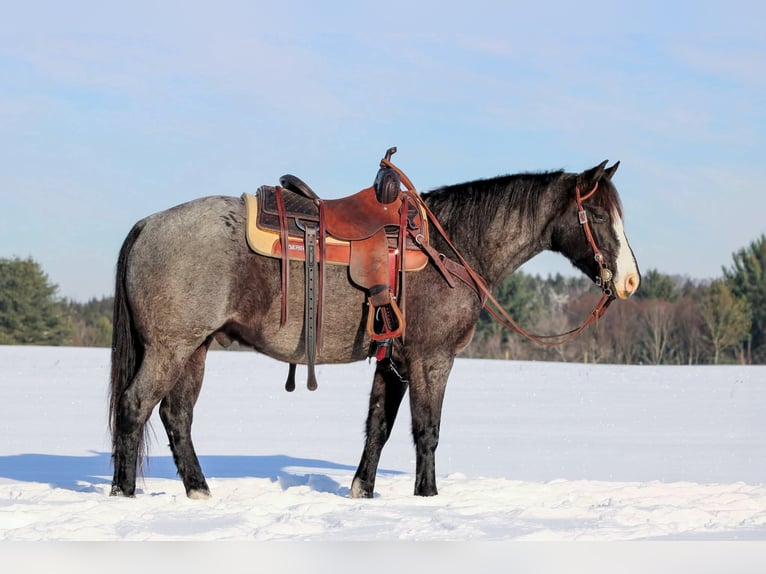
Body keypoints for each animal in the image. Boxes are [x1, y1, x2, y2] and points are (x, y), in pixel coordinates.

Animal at [108, 157, 640, 499]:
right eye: (596, 214)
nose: (631, 280)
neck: (451, 245)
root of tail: (147, 224)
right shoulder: (431, 359)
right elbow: (427, 429)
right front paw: (428, 496)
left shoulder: (393, 362)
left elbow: (378, 428)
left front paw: (363, 490)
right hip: (170, 348)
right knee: (135, 408)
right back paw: (124, 493)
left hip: (194, 349)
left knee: (176, 417)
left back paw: (198, 490)